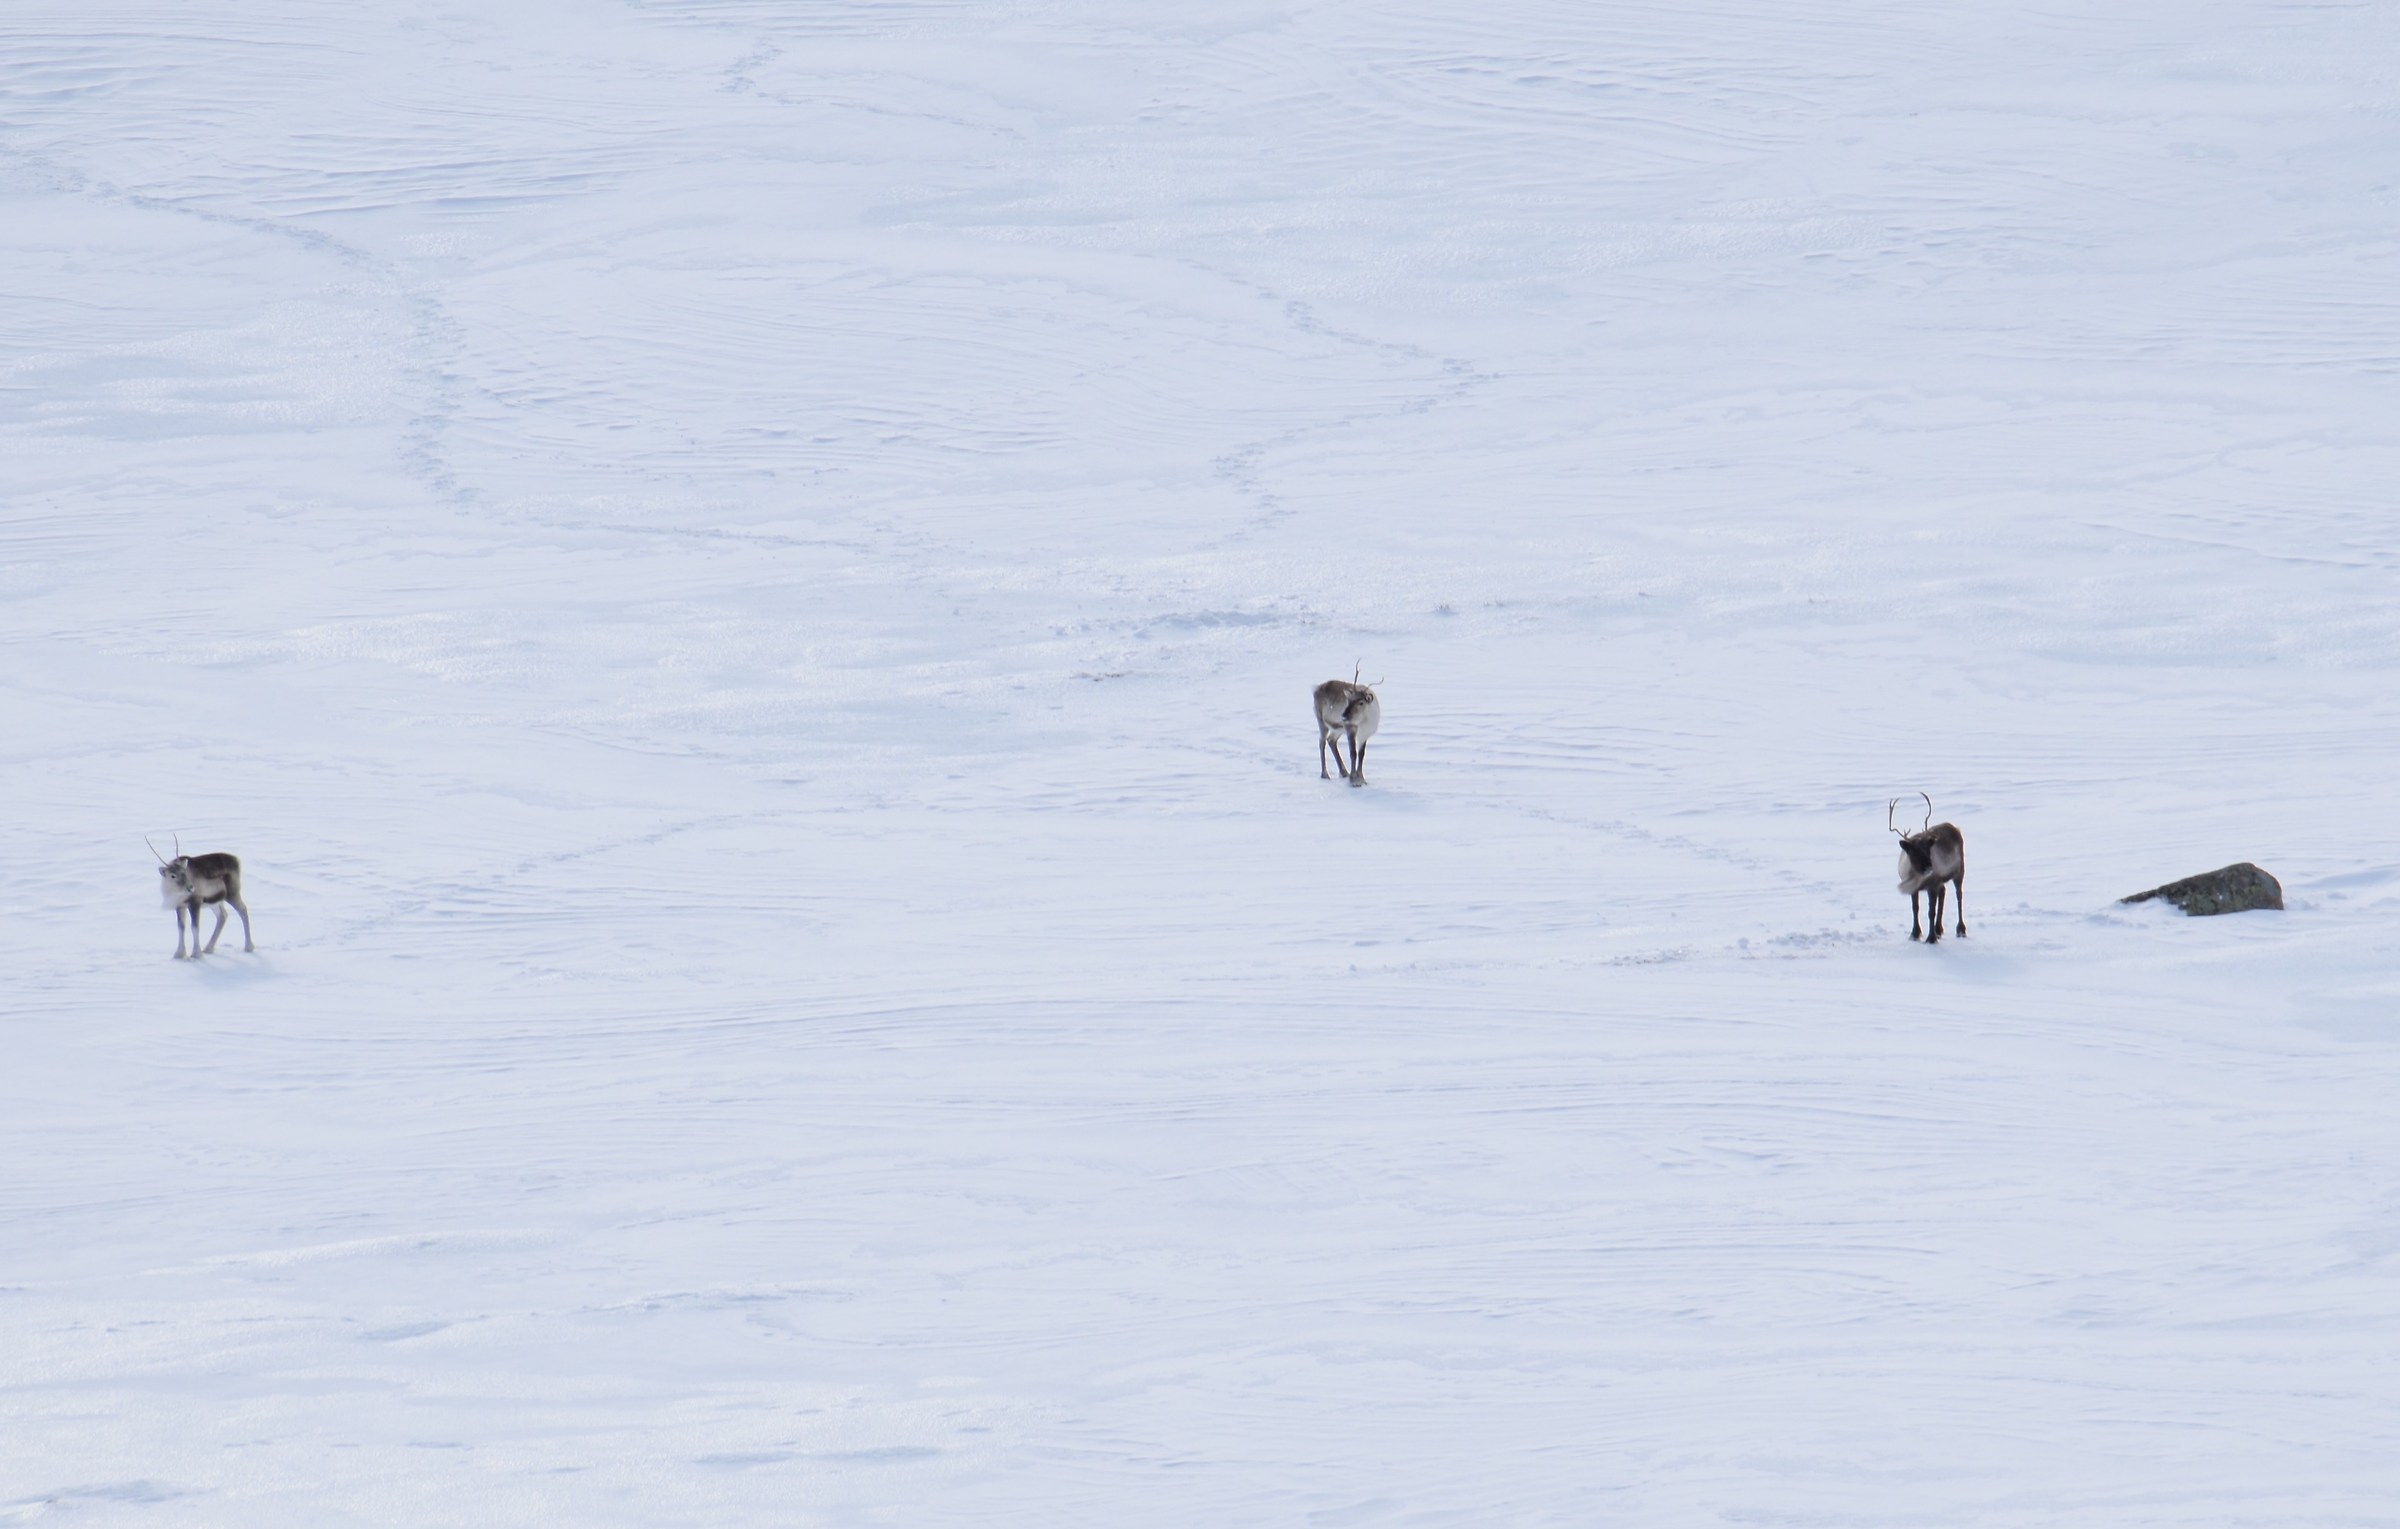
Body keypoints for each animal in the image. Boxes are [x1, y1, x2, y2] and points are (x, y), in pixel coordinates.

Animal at [1889, 793, 1965, 943]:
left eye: (1927, 850)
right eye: (1913, 852)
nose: (1930, 867)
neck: (1917, 878)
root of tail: (1955, 827)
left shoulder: (1932, 886)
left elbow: (1931, 911)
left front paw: (1931, 939)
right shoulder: (1914, 889)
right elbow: (1915, 908)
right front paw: (1915, 934)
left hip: (1959, 871)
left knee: (1959, 895)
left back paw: (1960, 929)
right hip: (1942, 880)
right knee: (1943, 892)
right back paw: (1939, 929)